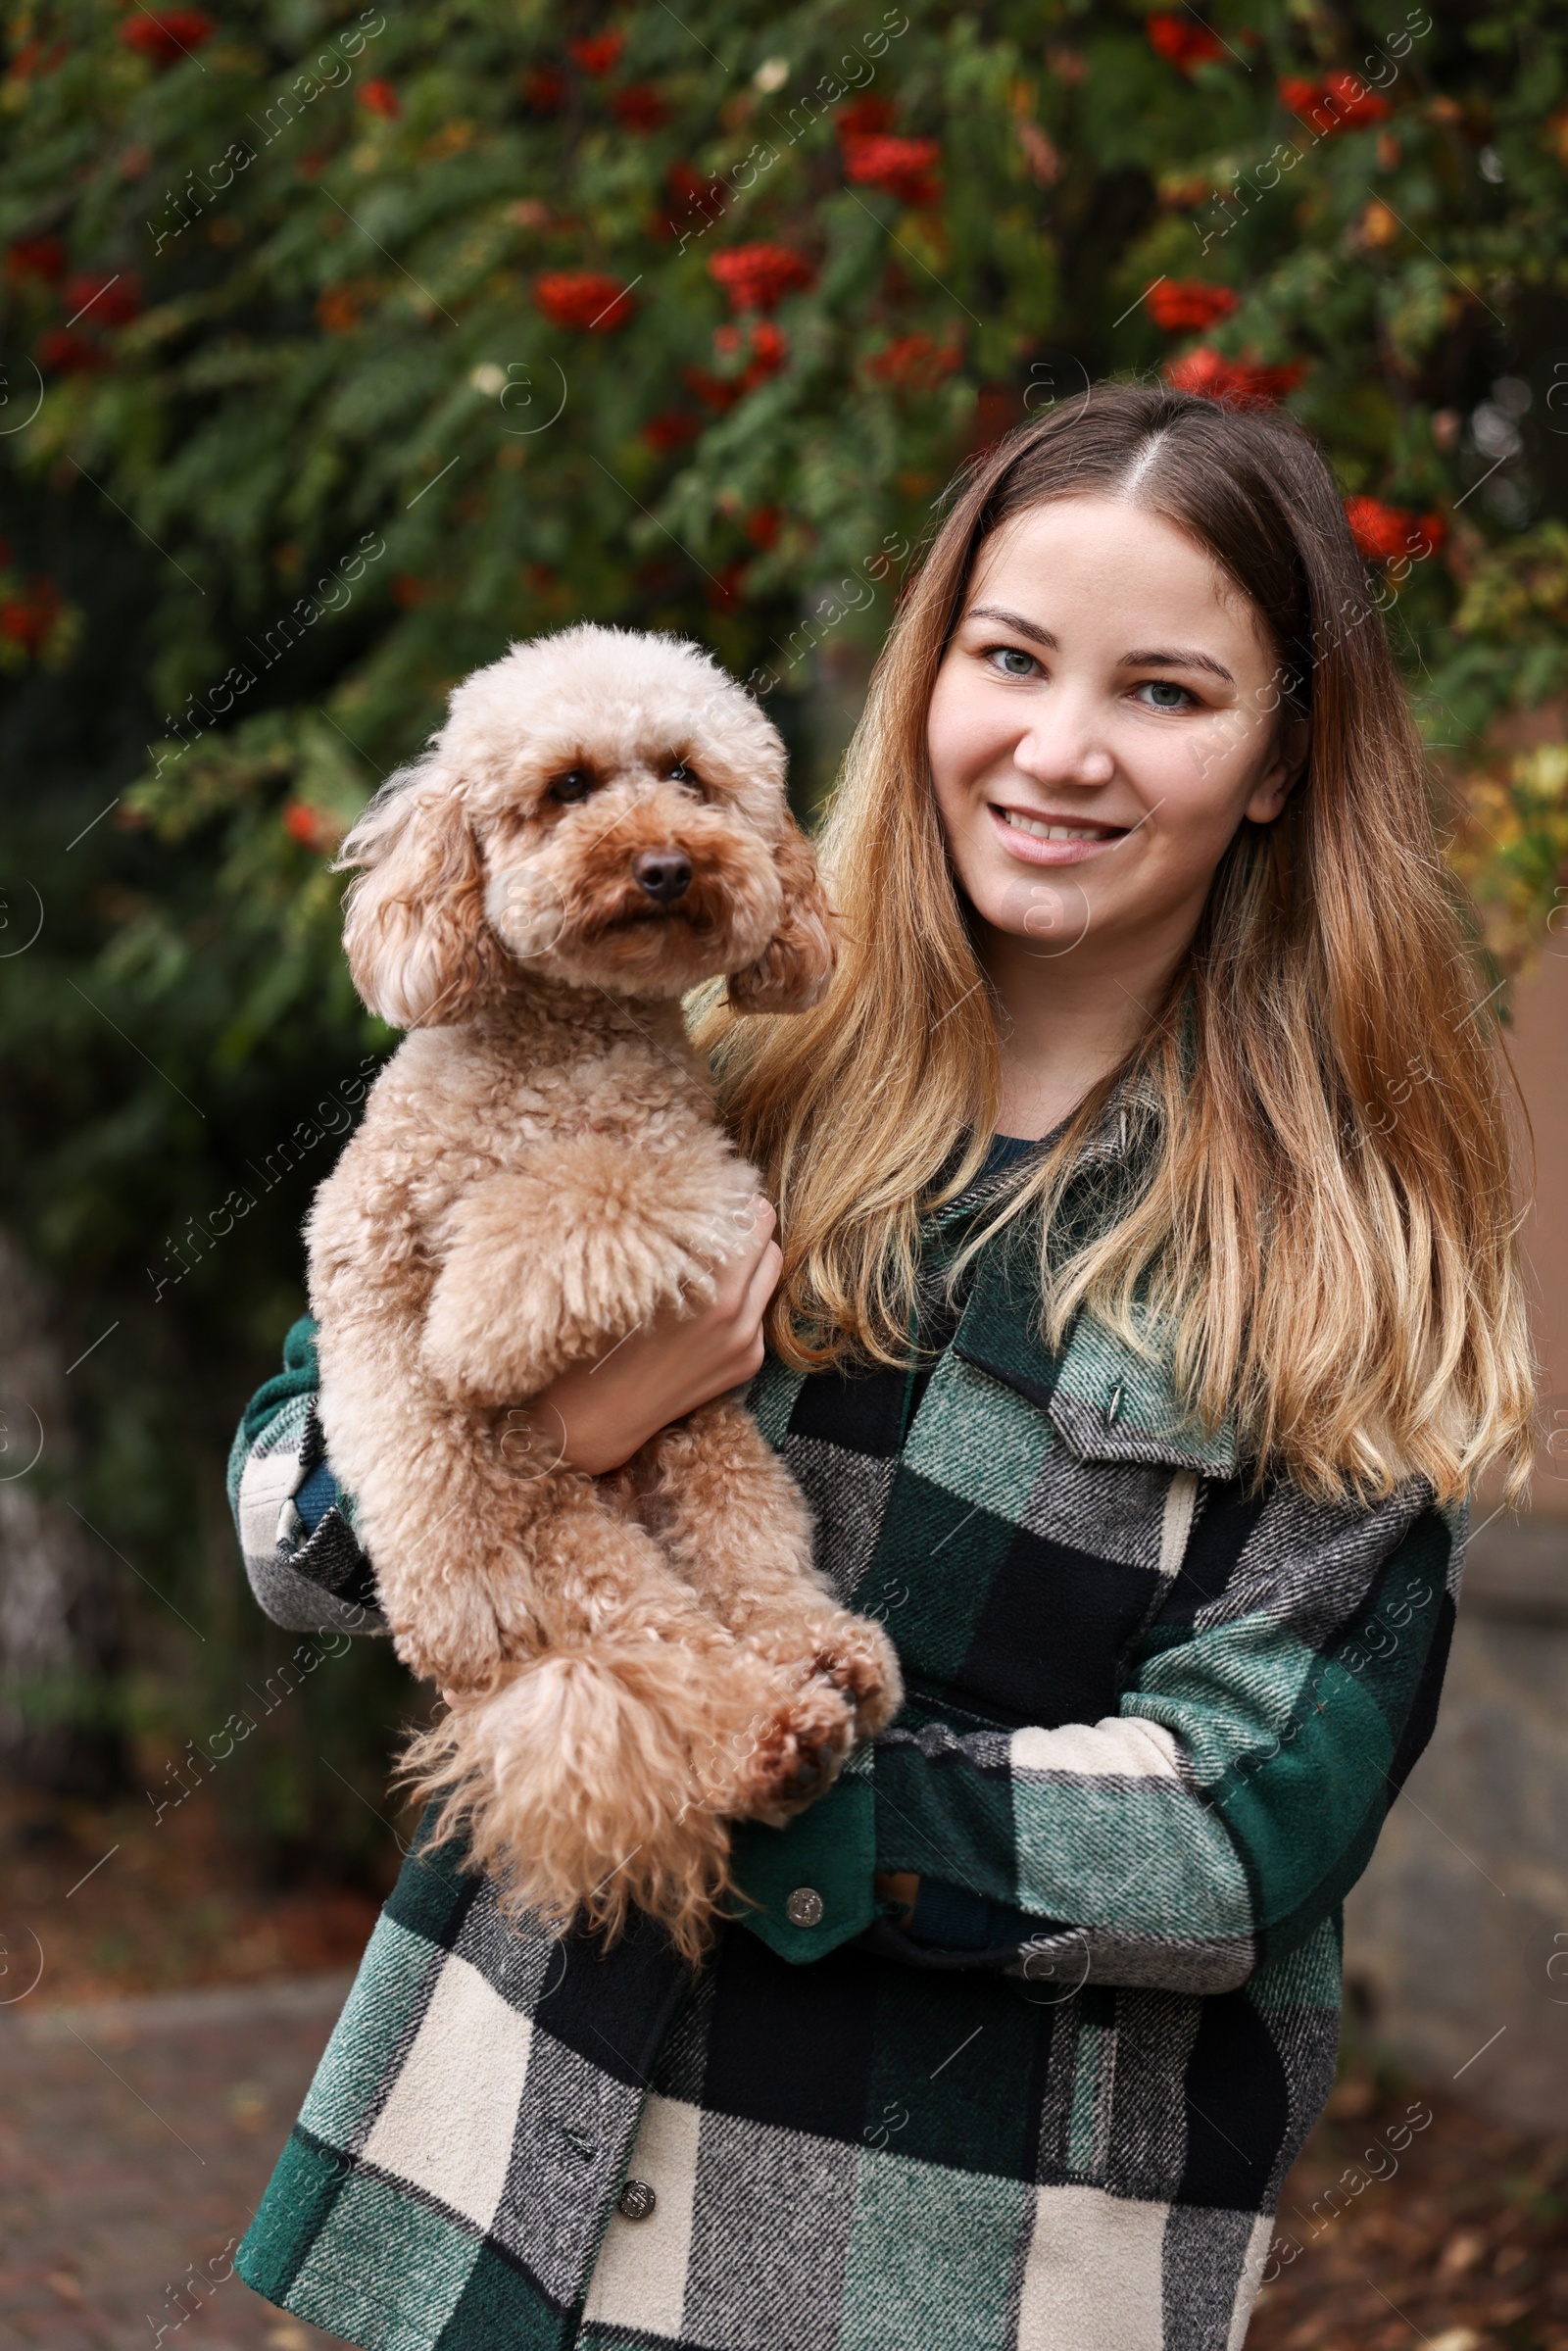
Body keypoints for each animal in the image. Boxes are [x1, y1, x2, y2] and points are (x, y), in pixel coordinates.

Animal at [303, 625, 906, 1965]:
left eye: (687, 775)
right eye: (568, 785)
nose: (667, 864)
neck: (566, 1042)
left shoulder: (697, 1175)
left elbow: (590, 1193)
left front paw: (482, 1316)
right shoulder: (362, 1246)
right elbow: (407, 1411)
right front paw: (451, 1570)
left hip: (706, 1459)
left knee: (739, 1587)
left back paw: (814, 1678)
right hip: (581, 1534)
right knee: (671, 1643)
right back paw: (787, 1717)